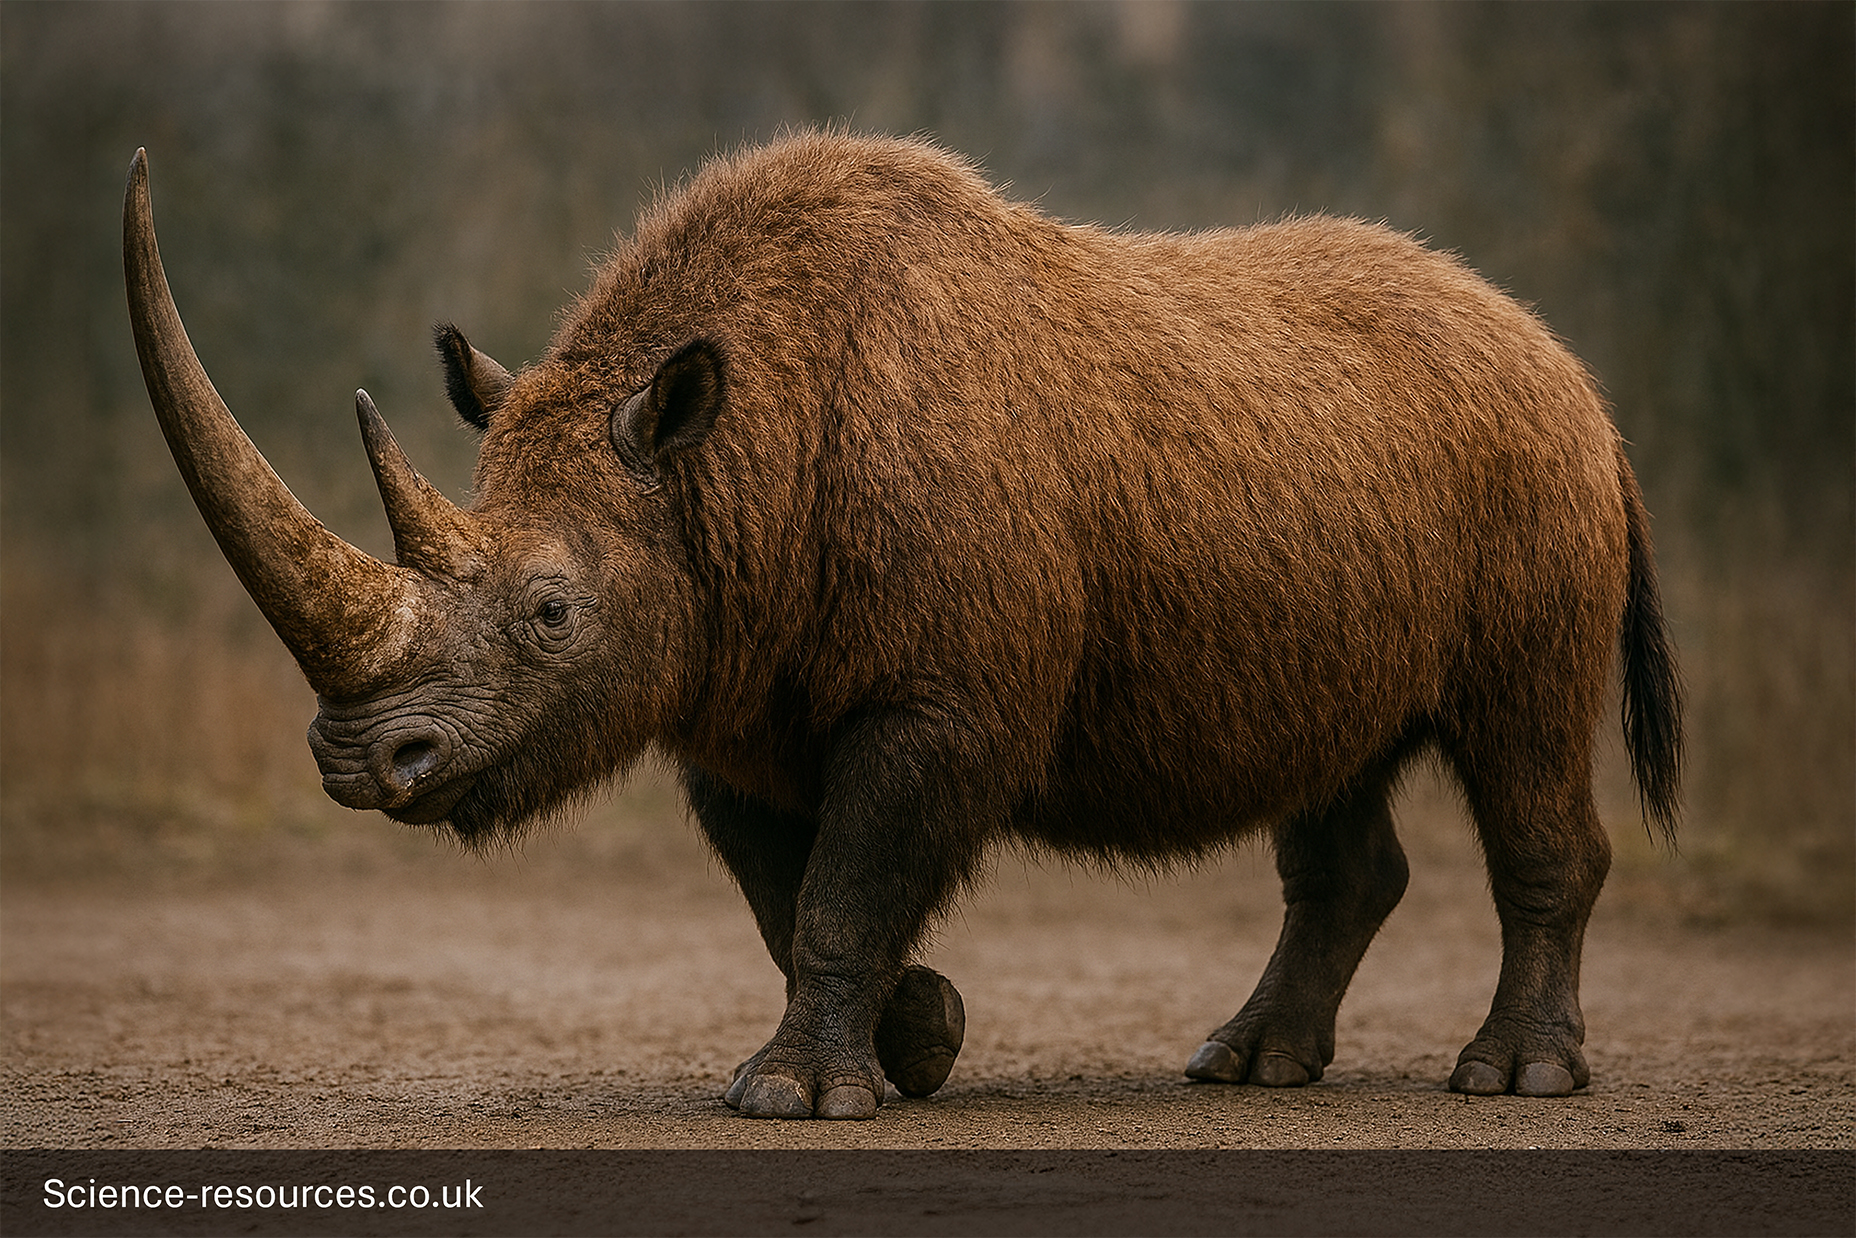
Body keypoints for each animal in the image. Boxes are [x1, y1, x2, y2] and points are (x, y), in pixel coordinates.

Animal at [124, 132, 1681, 1119]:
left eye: (552, 611)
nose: (355, 761)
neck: (719, 458)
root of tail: (1576, 375)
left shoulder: (938, 697)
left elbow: (844, 881)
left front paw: (795, 1098)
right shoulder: (731, 692)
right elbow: (788, 893)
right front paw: (920, 1036)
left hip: (1533, 479)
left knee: (1518, 737)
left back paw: (1510, 1080)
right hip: (1353, 483)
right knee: (1332, 765)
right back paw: (1245, 1066)